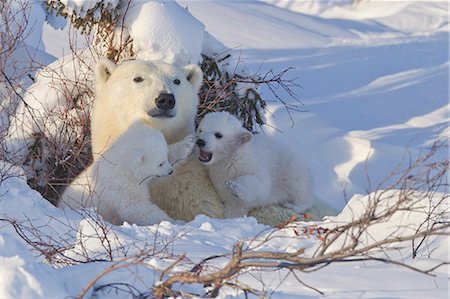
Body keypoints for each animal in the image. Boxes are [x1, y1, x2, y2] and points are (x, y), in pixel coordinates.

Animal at [58, 120, 195, 226]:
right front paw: (175, 222)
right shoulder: (120, 188)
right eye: (160, 163)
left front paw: (188, 143)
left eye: (165, 156)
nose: (170, 171)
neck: (124, 168)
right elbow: (135, 208)